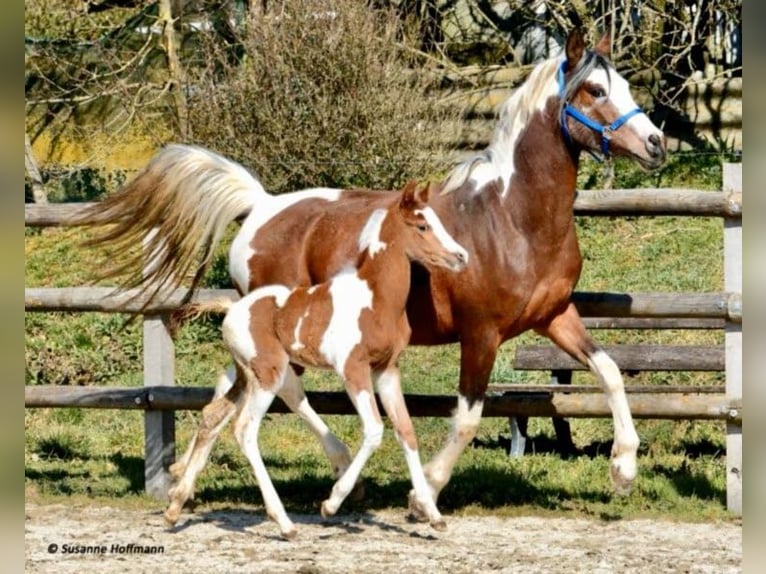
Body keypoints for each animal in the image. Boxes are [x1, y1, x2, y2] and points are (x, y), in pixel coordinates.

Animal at [165, 183, 472, 540]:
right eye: (422, 226)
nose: (461, 257)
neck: (375, 298)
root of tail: (232, 309)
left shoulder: (387, 371)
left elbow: (406, 430)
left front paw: (433, 515)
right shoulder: (353, 369)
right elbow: (375, 429)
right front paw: (332, 502)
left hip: (249, 375)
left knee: (215, 413)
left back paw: (175, 507)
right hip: (269, 375)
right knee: (245, 430)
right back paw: (285, 524)